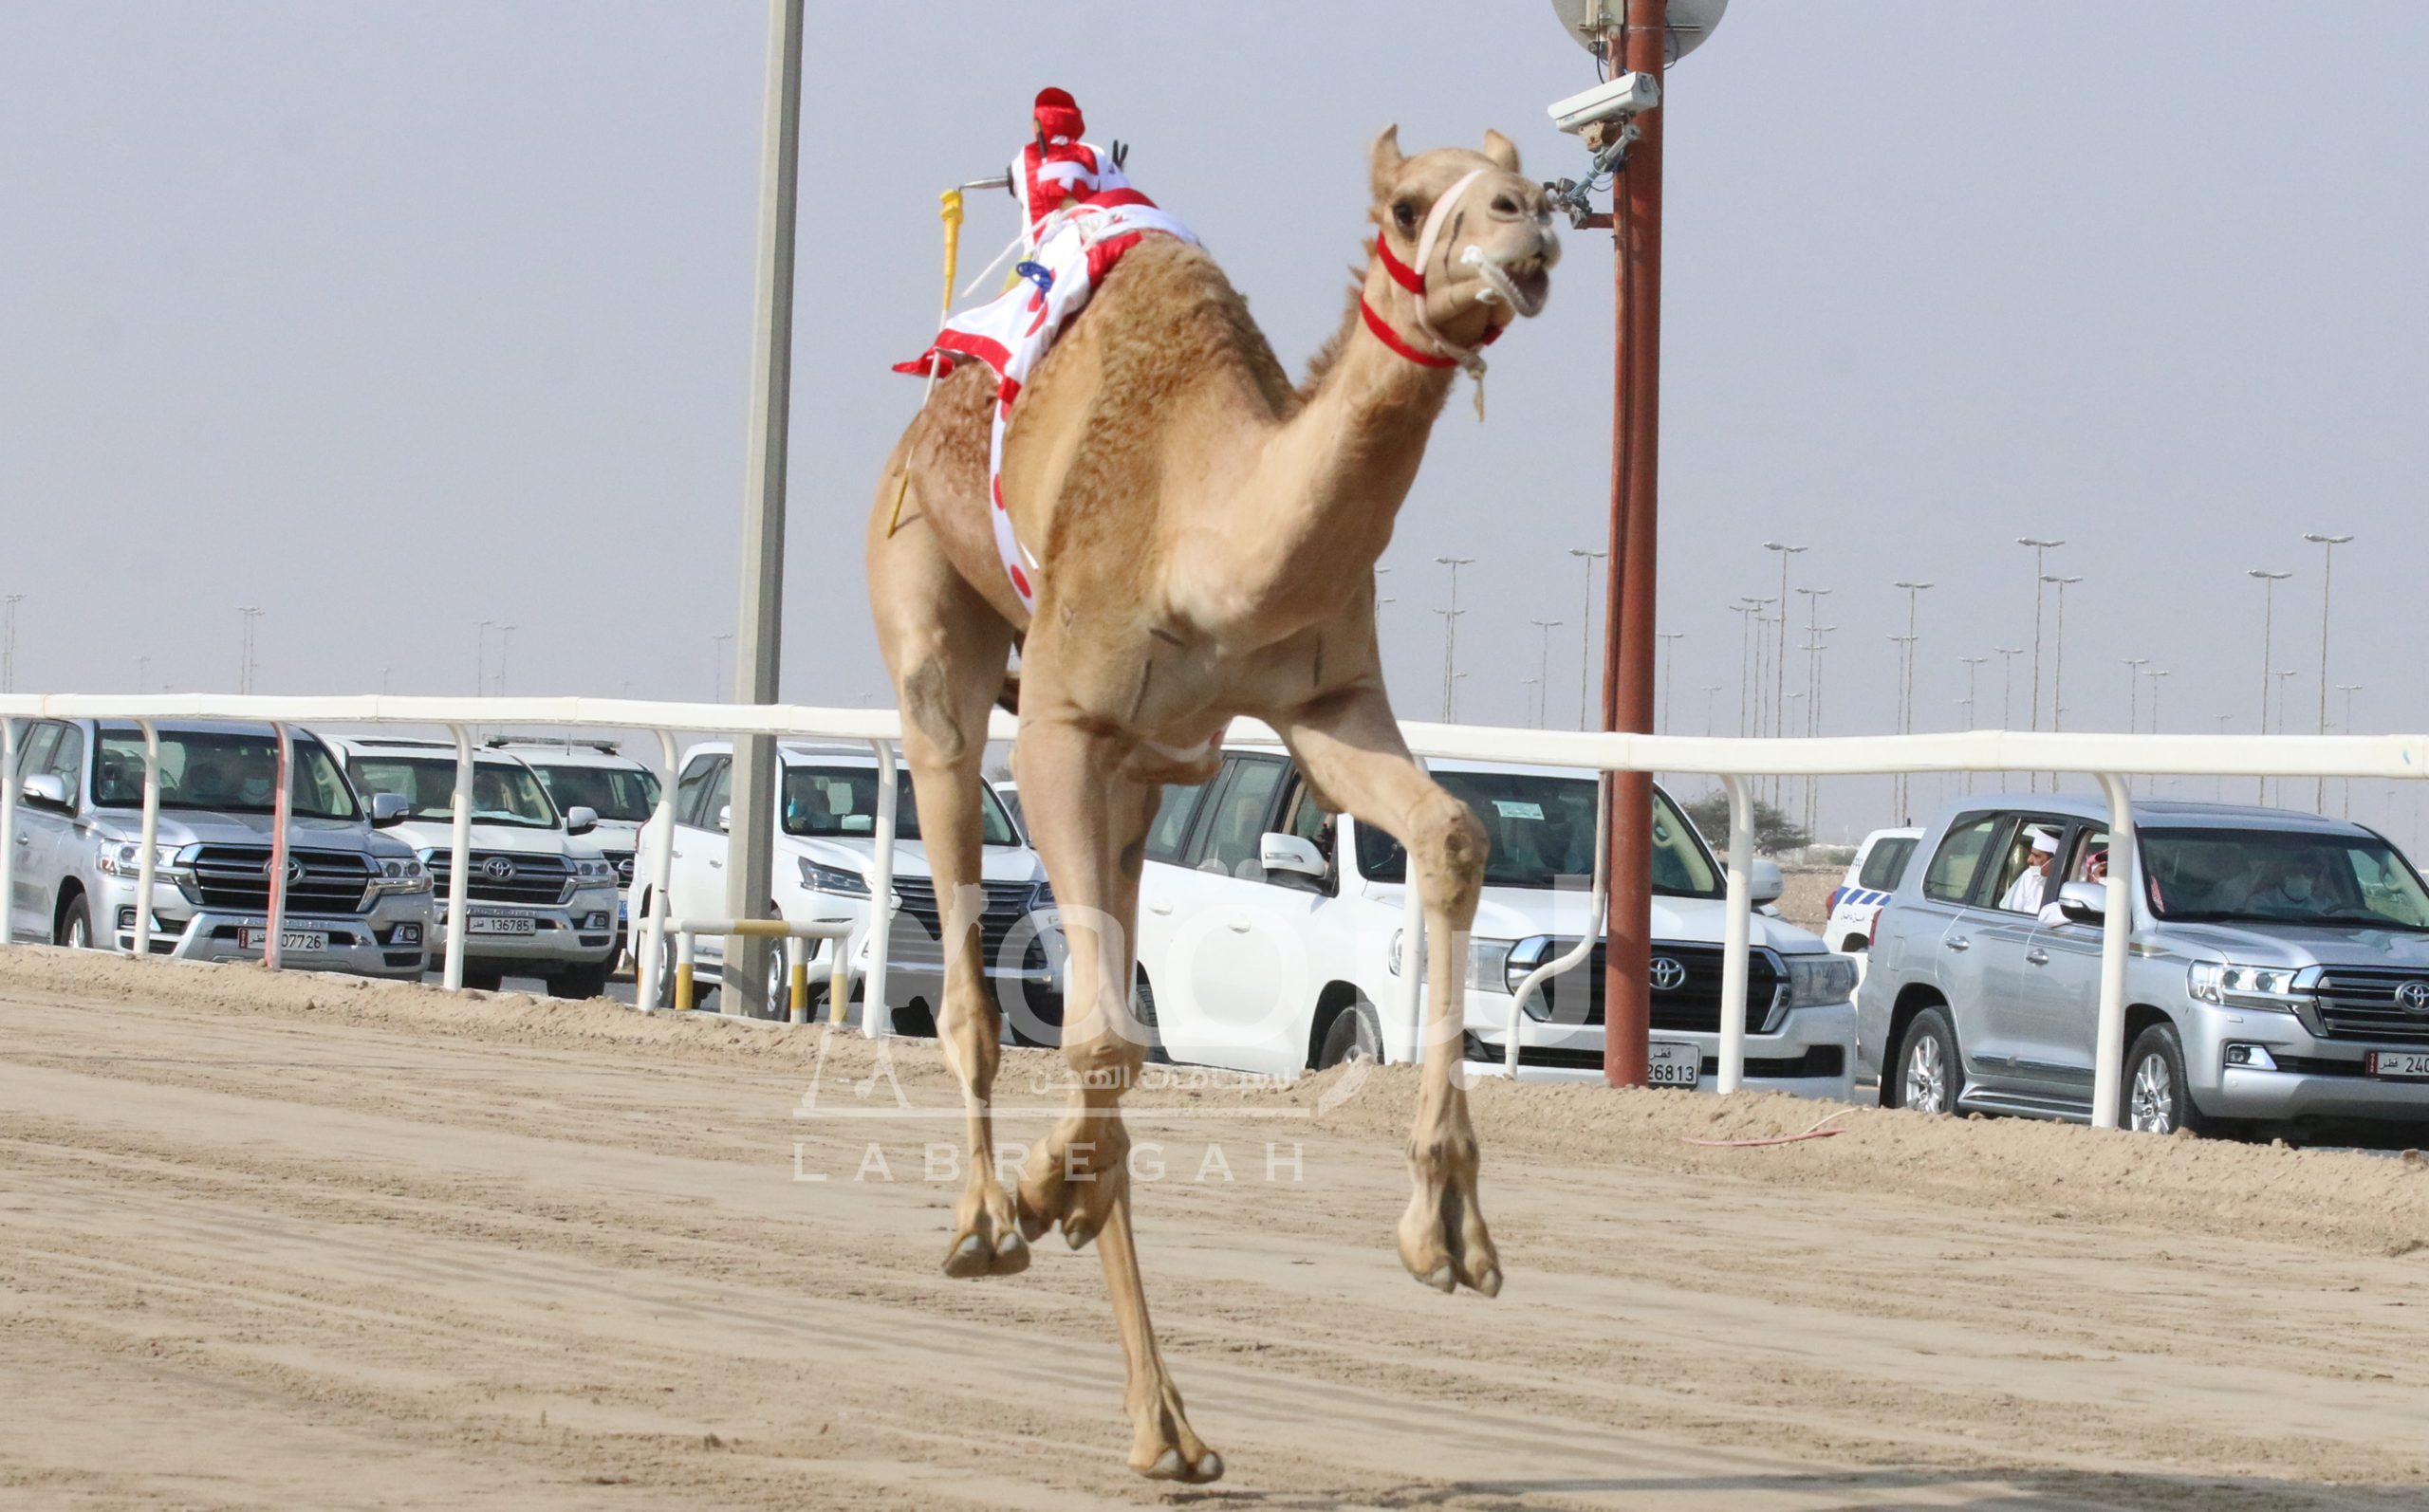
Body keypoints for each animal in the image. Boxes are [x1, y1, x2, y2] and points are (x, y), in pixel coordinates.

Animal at [864, 120, 1564, 1495]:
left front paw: (1448, 1232)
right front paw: (1040, 1190)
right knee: (974, 958)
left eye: (1520, 187)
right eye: (1410, 207)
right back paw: (988, 1222)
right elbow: (1097, 1035)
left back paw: (1167, 1427)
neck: (1211, 530)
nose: (1530, 229)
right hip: (927, 612)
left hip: (1142, 781)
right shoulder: (1067, 724)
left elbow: (1453, 835)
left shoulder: (1325, 701)